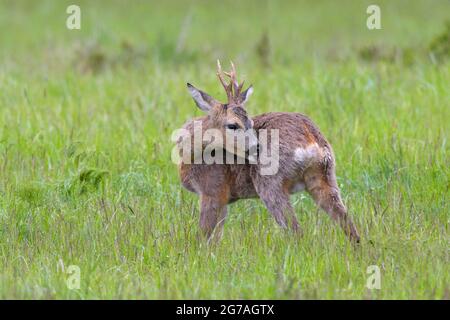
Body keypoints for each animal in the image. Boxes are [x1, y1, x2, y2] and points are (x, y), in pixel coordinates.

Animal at [178, 62, 360, 242]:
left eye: (250, 122)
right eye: (233, 125)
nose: (258, 147)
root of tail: (310, 138)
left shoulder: (213, 190)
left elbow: (202, 238)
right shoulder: (223, 201)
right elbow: (216, 239)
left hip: (270, 183)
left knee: (297, 231)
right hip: (325, 175)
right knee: (349, 226)